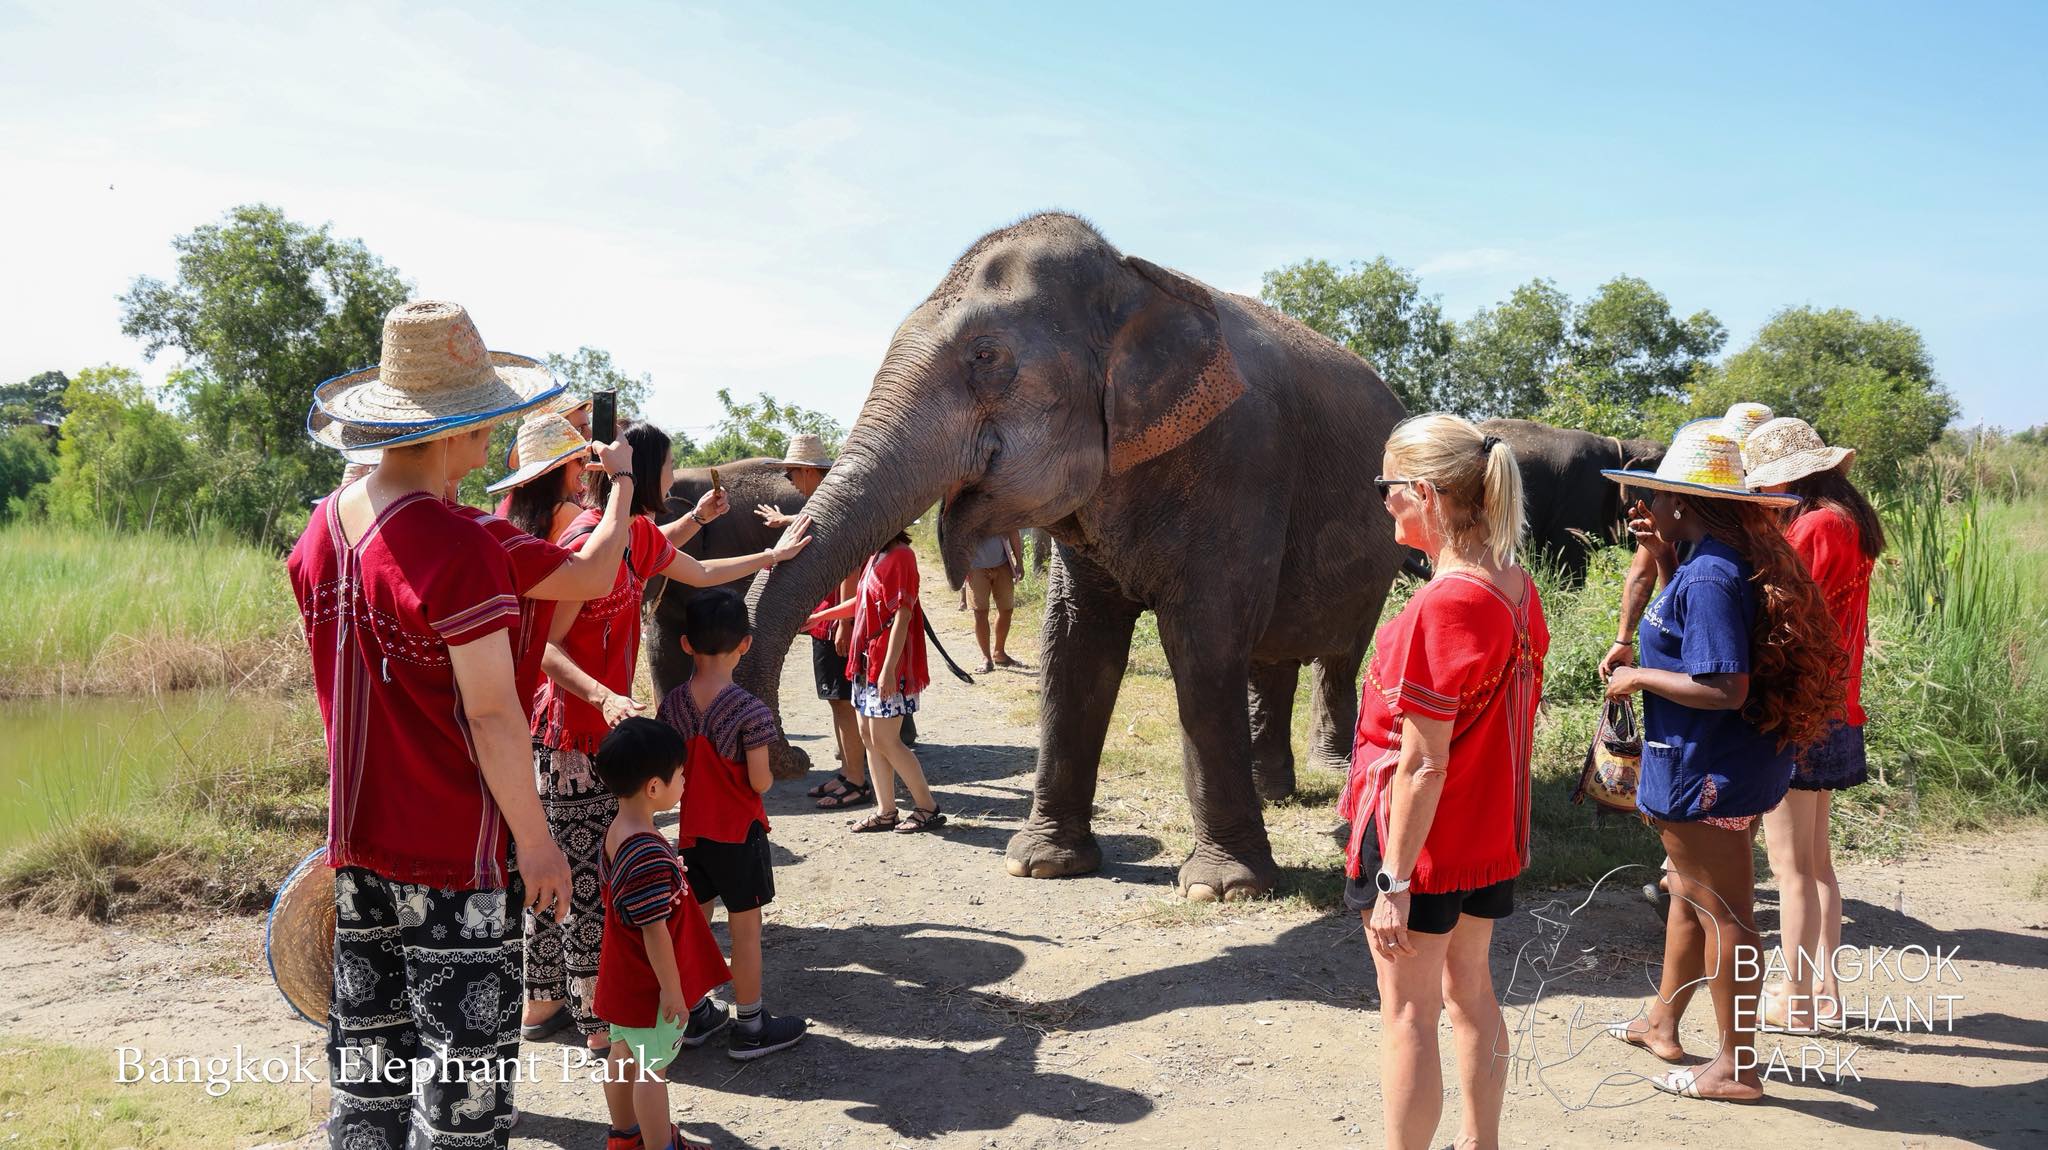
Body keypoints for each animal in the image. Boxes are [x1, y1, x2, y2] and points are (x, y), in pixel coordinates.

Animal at [737, 212, 1409, 901]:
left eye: (986, 356)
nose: (791, 758)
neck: (1136, 279)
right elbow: (1074, 641)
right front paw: (1041, 863)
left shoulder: (1242, 461)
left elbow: (1204, 641)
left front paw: (1223, 889)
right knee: (1272, 657)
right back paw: (1275, 793)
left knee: (1337, 652)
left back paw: (1334, 779)